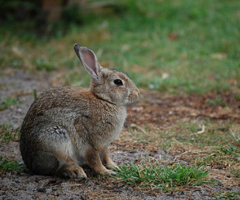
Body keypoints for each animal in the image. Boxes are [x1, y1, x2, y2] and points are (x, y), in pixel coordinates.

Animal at [20, 43, 141, 178]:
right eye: (118, 82)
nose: (137, 93)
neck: (103, 99)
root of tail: (30, 163)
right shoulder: (88, 139)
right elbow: (94, 159)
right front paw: (106, 172)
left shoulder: (104, 145)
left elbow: (106, 156)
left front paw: (115, 167)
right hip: (55, 139)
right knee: (58, 167)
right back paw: (76, 171)